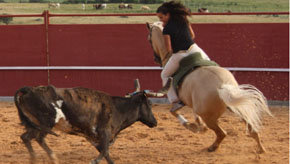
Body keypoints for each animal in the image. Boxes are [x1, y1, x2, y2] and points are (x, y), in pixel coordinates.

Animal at [14, 84, 159, 164]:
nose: (155, 122)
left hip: (34, 123)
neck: (118, 108)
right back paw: (51, 158)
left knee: (26, 137)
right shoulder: (104, 133)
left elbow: (106, 154)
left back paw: (36, 159)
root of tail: (29, 90)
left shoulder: (93, 137)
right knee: (37, 138)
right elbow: (105, 151)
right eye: (149, 104)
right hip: (46, 122)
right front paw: (94, 161)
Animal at [146, 21, 274, 152]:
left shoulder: (181, 103)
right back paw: (261, 150)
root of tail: (222, 84)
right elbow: (194, 116)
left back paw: (212, 146)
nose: (155, 59)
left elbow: (174, 112)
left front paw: (194, 127)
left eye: (149, 39)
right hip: (237, 108)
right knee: (252, 130)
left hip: (209, 117)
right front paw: (198, 125)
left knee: (222, 133)